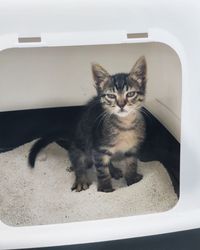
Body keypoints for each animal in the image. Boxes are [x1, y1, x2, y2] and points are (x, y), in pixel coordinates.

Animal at [28, 56, 147, 192]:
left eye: (131, 94)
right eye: (111, 96)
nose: (121, 105)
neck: (125, 125)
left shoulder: (132, 149)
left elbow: (132, 164)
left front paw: (132, 181)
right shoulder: (99, 148)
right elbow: (102, 172)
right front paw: (106, 189)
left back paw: (113, 170)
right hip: (81, 144)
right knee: (77, 160)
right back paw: (80, 177)